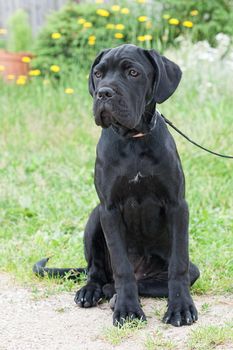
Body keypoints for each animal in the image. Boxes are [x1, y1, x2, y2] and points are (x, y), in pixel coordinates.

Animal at [35, 44, 200, 328]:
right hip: (94, 217)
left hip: (189, 268)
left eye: (133, 72)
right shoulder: (109, 209)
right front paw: (128, 310)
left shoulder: (177, 205)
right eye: (98, 74)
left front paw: (180, 308)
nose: (104, 92)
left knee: (150, 280)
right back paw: (92, 291)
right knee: (97, 272)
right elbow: (122, 267)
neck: (133, 140)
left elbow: (177, 265)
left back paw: (112, 293)